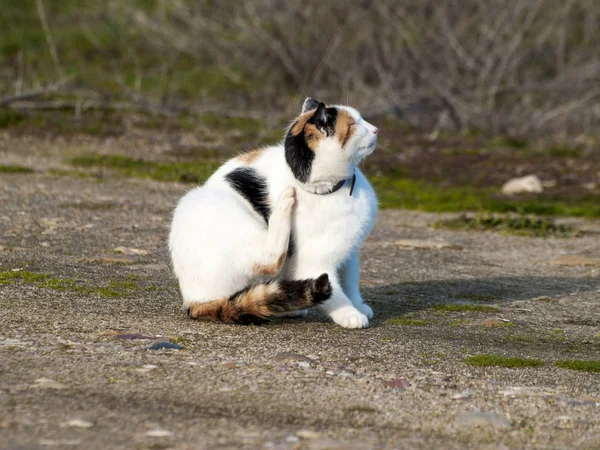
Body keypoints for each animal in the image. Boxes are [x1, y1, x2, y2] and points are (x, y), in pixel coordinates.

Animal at [166, 98, 378, 328]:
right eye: (354, 124)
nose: (376, 129)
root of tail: (193, 302)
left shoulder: (348, 254)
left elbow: (350, 283)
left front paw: (359, 305)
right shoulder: (313, 265)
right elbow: (335, 294)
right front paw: (350, 314)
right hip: (205, 204)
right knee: (268, 260)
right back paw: (284, 202)